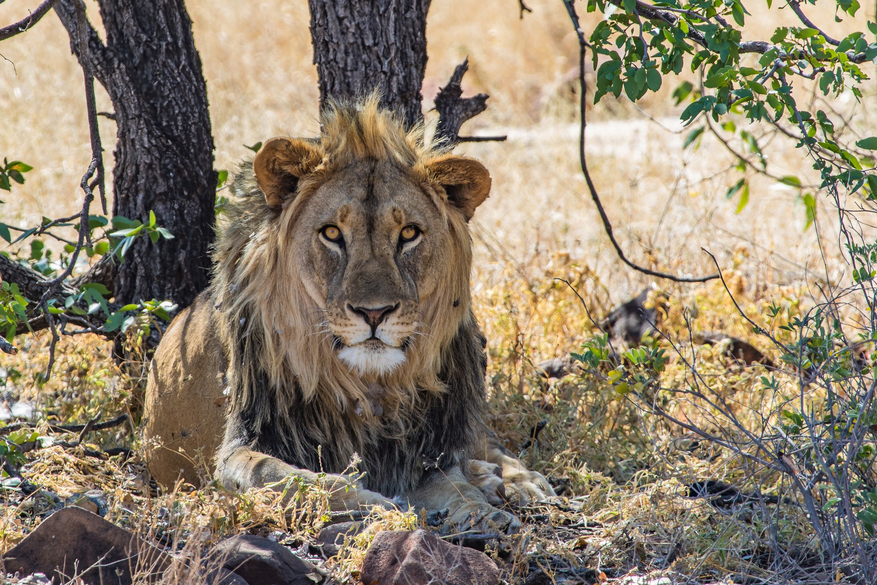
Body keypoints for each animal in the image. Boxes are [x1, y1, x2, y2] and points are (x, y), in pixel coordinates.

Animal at [144, 96, 556, 528]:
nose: (374, 313)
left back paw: (518, 481)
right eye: (331, 233)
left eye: (409, 234)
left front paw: (482, 513)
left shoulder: (421, 453)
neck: (368, 386)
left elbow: (454, 484)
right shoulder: (242, 444)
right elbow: (282, 476)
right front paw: (374, 502)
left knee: (486, 441)